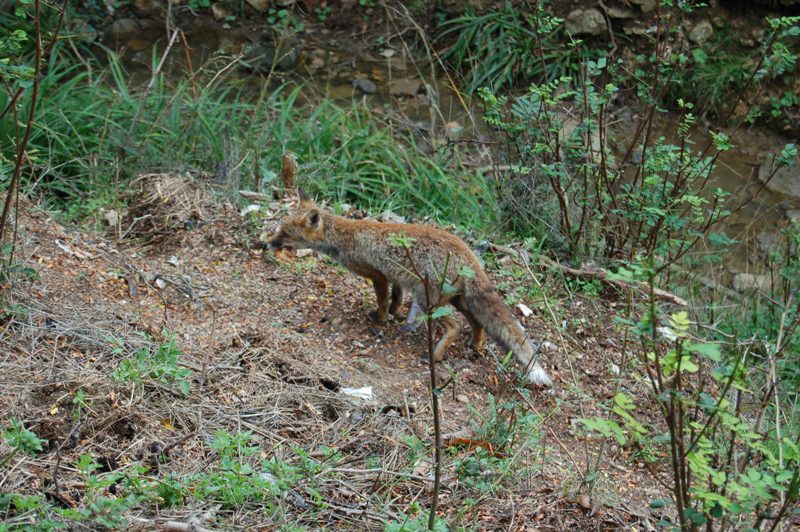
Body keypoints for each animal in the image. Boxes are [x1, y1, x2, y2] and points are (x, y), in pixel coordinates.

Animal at [266, 196, 552, 386]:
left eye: (286, 233)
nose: (267, 243)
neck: (348, 238)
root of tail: (470, 258)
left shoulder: (377, 275)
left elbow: (383, 301)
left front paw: (380, 320)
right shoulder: (399, 280)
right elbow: (396, 299)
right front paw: (395, 315)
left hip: (429, 301)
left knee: (455, 327)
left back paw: (434, 355)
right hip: (457, 301)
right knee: (478, 323)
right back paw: (475, 345)